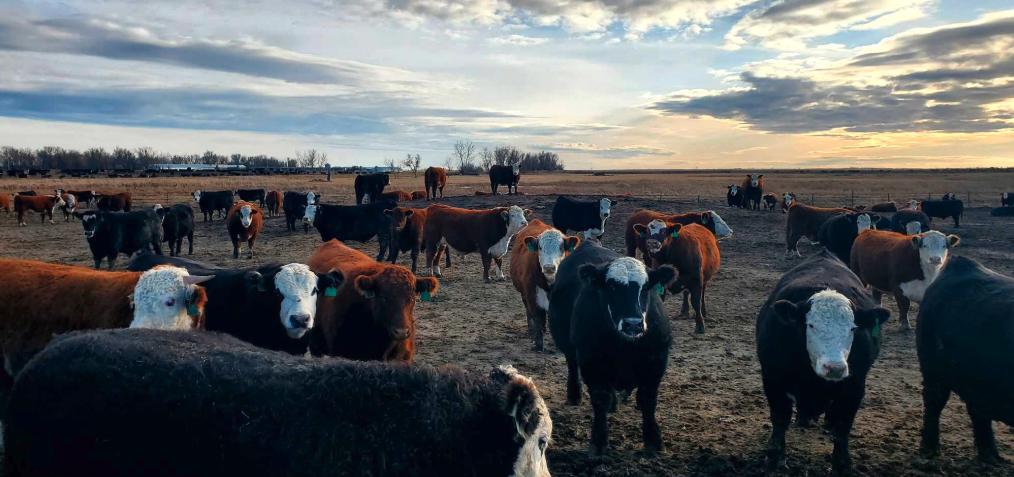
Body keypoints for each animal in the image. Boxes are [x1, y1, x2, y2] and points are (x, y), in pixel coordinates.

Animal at [509, 220, 580, 351]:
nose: (549, 267)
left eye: (561, 247)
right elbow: (537, 317)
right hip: (524, 294)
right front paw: (538, 344)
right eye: (540, 247)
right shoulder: (532, 295)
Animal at [548, 242, 676, 455]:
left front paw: (654, 441)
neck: (624, 347)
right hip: (567, 346)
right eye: (612, 287)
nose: (632, 323)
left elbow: (648, 401)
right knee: (572, 365)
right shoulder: (591, 363)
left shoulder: (657, 361)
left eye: (645, 287)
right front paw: (599, 442)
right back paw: (574, 395)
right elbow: (600, 399)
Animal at [757, 248, 890, 474]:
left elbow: (843, 427)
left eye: (853, 328)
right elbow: (780, 418)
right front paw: (775, 457)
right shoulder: (772, 379)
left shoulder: (855, 386)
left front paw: (842, 464)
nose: (834, 368)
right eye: (810, 325)